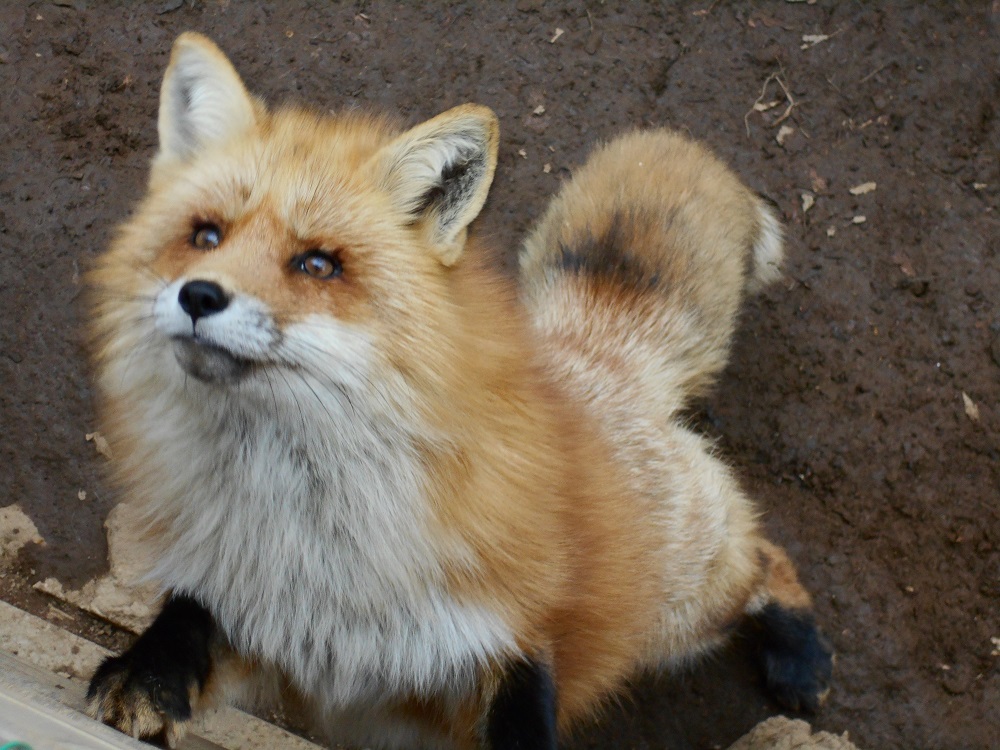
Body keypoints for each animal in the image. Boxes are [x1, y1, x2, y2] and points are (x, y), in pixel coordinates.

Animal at [86, 32, 832, 748]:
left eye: (319, 264)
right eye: (206, 235)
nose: (198, 295)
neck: (312, 542)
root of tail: (590, 353)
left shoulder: (512, 629)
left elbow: (525, 711)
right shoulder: (276, 634)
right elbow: (185, 617)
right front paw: (145, 676)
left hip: (680, 609)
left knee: (765, 557)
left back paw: (801, 657)